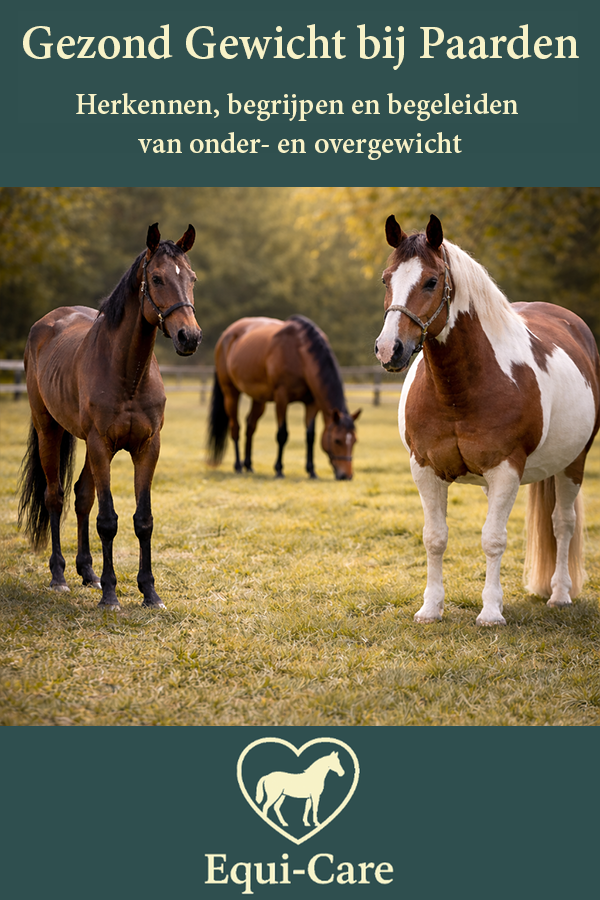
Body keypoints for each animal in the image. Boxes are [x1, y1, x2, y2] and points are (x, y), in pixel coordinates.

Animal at [18, 224, 202, 610]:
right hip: (49, 430)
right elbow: (108, 520)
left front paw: (149, 592)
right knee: (56, 496)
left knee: (81, 497)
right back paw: (59, 576)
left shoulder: (147, 448)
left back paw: (87, 572)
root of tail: (47, 322)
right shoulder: (102, 446)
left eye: (191, 278)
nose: (189, 337)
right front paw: (111, 594)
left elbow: (142, 520)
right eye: (157, 278)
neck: (128, 374)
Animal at [207, 315, 361, 480]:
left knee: (250, 426)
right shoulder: (281, 399)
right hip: (230, 393)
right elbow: (282, 434)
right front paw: (279, 469)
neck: (299, 353)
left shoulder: (312, 403)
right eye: (337, 440)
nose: (346, 475)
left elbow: (310, 436)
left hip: (259, 399)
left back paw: (248, 465)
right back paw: (238, 466)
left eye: (354, 440)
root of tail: (226, 335)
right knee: (235, 427)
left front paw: (311, 471)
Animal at [375, 214, 600, 626]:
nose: (389, 349)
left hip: (574, 463)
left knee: (562, 524)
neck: (458, 392)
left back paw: (559, 594)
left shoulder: (505, 470)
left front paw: (491, 612)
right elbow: (435, 538)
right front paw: (431, 608)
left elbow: (493, 540)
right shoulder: (424, 468)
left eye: (431, 281)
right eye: (386, 279)